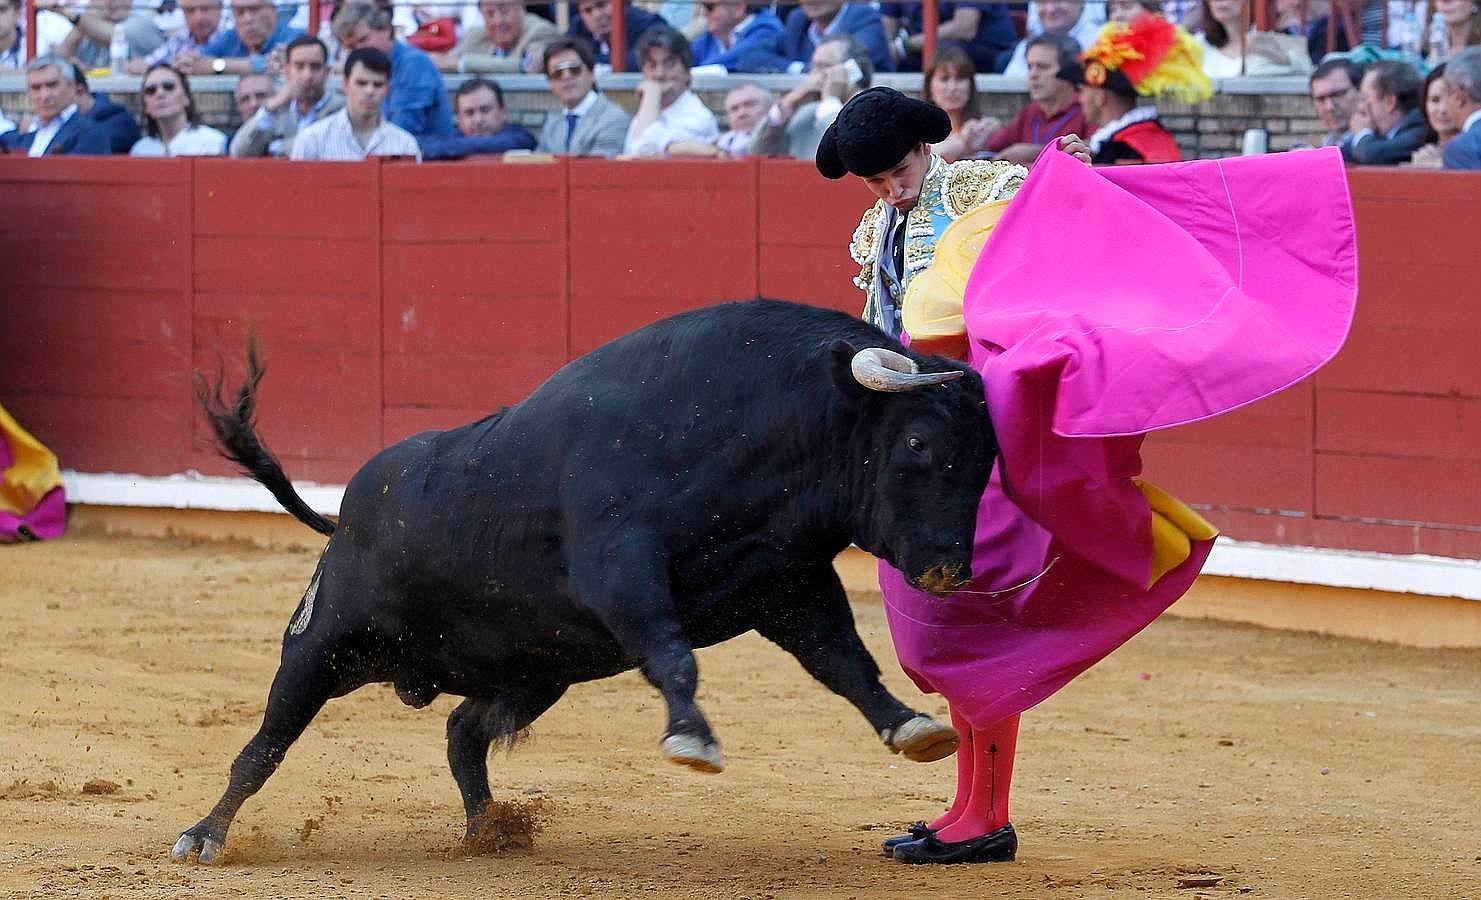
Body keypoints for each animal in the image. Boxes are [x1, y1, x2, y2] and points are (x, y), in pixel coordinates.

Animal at [176, 299, 995, 858]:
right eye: (918, 442)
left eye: (989, 458)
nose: (949, 569)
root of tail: (345, 515)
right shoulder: (621, 569)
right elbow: (673, 655)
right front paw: (692, 740)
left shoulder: (785, 582)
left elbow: (845, 662)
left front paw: (914, 727)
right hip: (322, 644)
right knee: (265, 744)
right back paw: (204, 836)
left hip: (536, 666)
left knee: (461, 730)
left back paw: (489, 830)